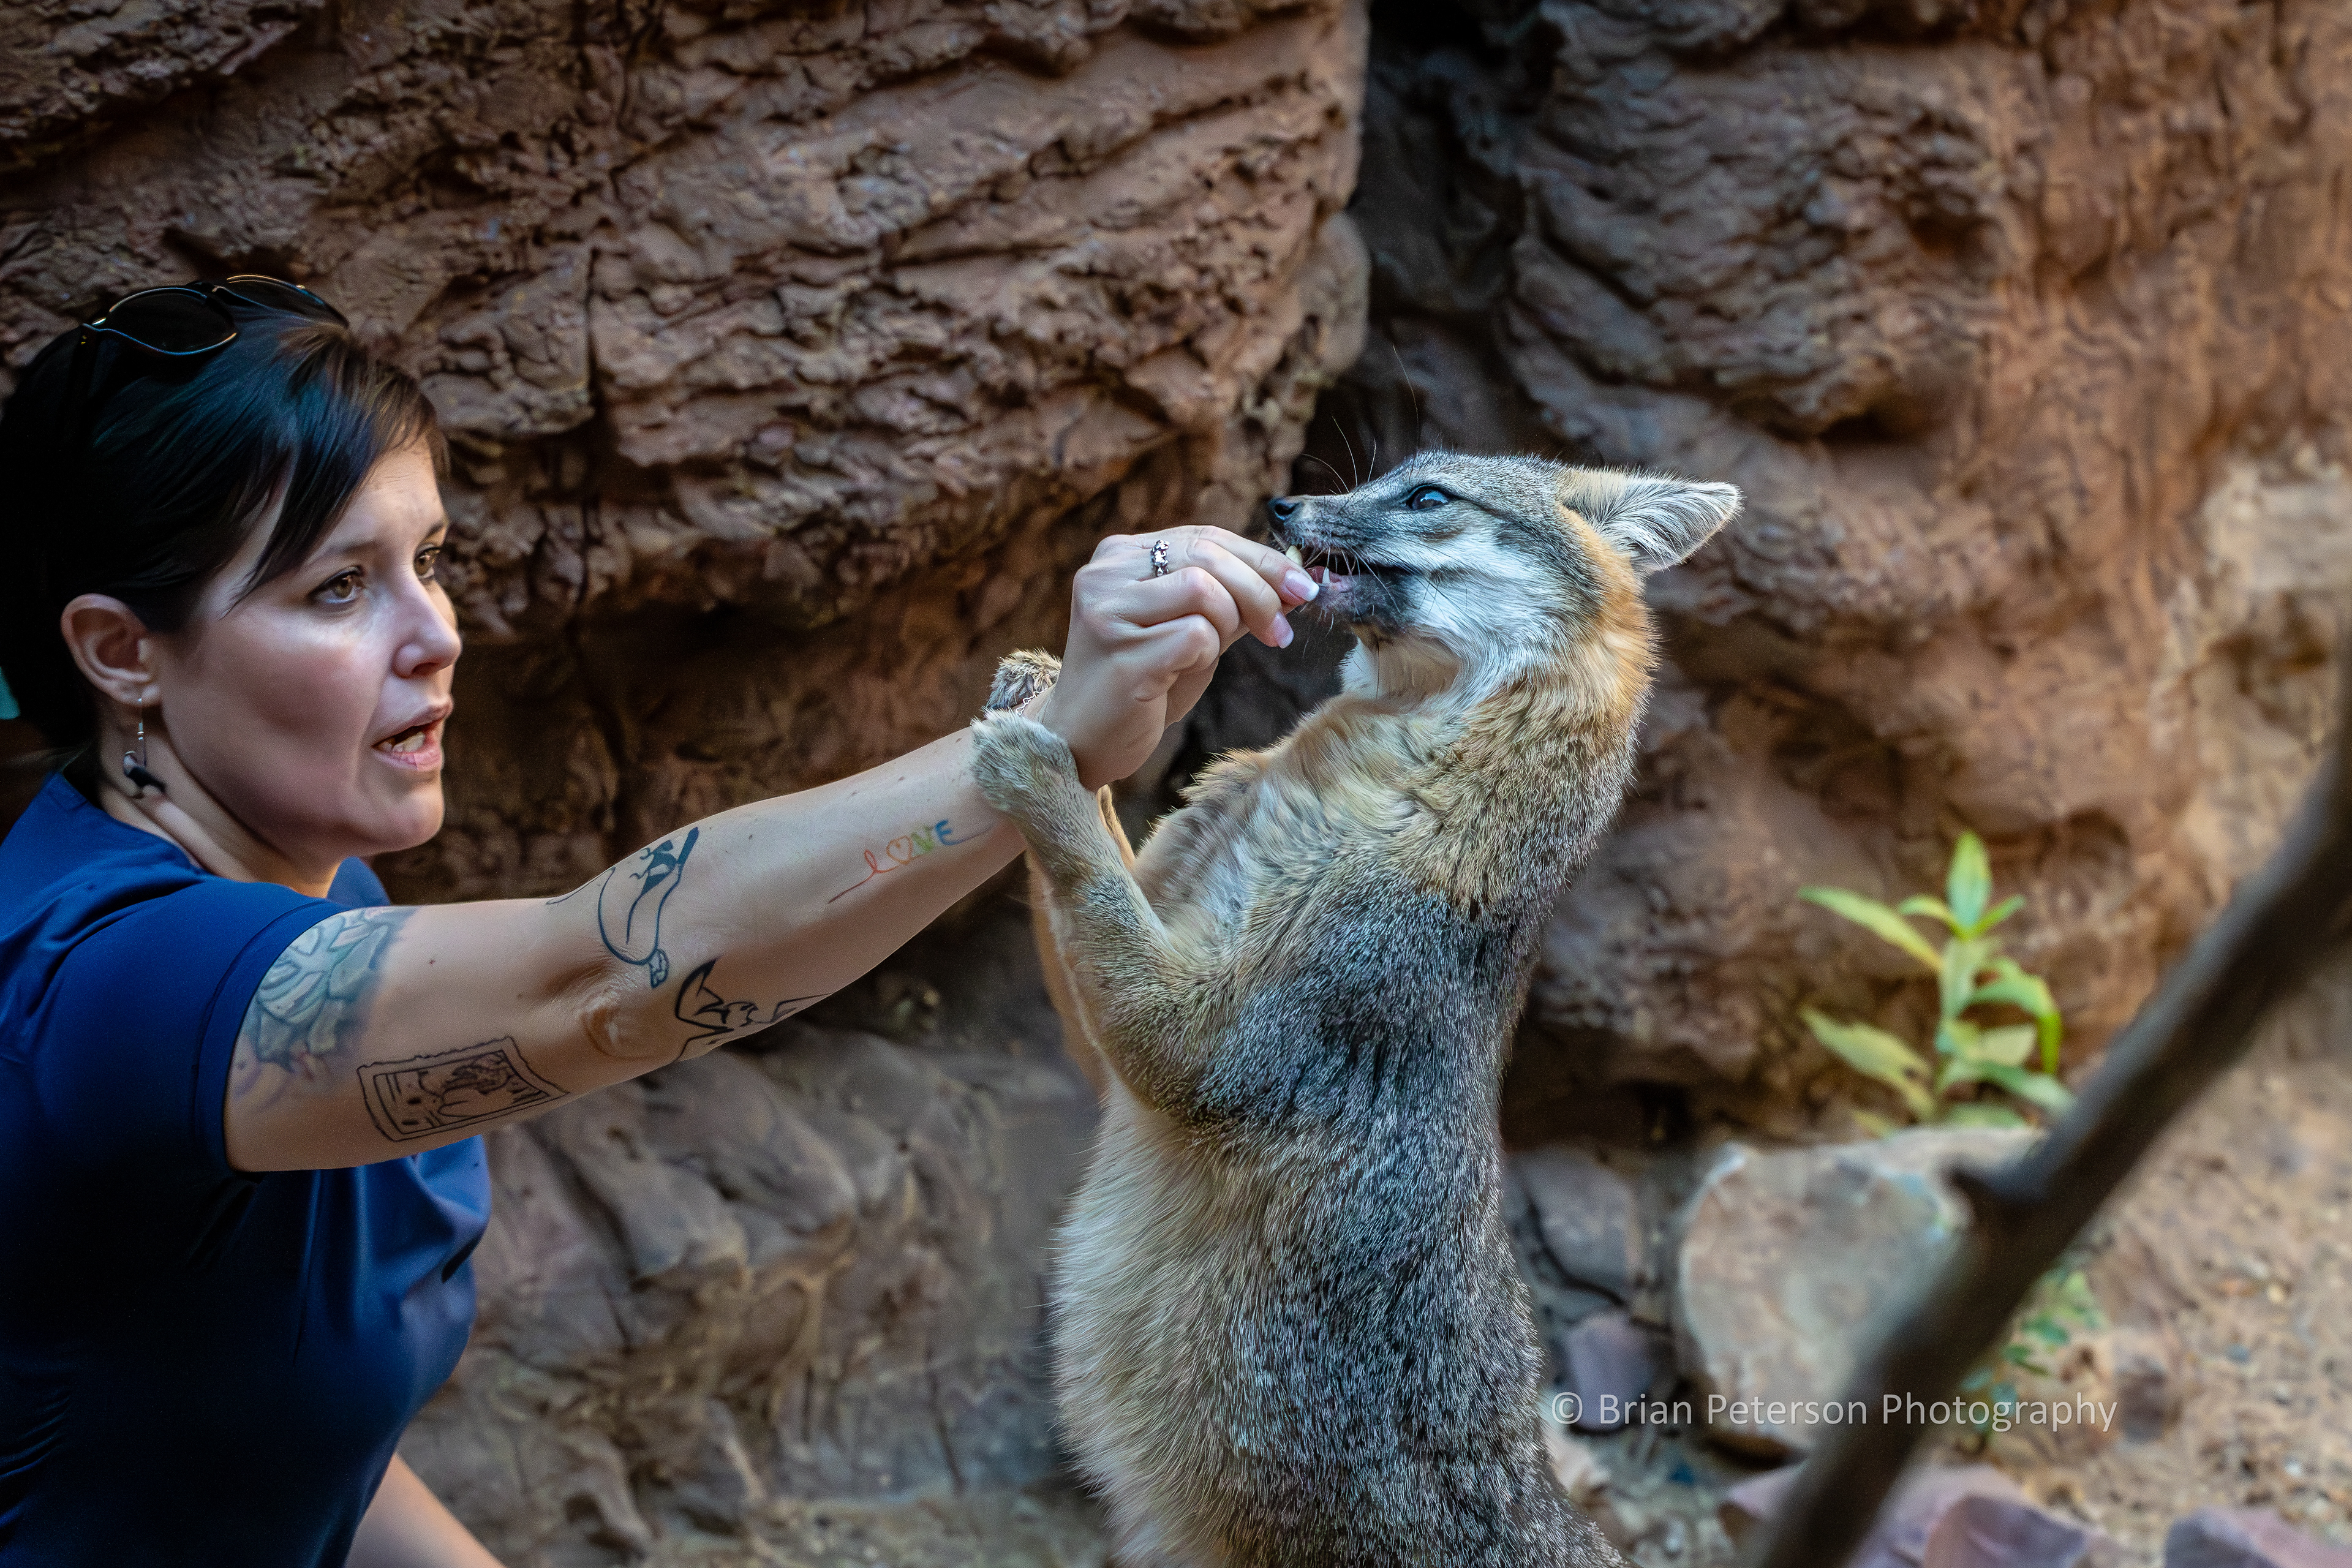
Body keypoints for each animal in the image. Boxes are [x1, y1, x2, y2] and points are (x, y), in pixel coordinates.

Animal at [970, 453, 1741, 1567]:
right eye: (1392, 473)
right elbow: (1096, 872)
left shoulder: (1205, 1054)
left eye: (1428, 498)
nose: (1283, 504)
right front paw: (1059, 698)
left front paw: (1044, 775)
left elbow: (1089, 875)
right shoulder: (1124, 1024)